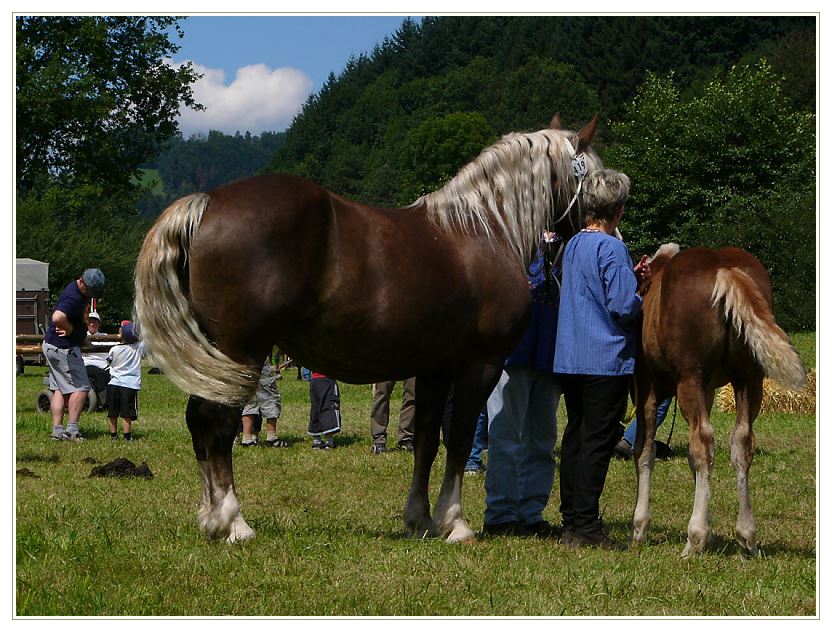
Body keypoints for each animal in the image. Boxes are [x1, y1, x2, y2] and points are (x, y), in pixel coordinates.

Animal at [133, 112, 600, 544]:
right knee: (217, 423)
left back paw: (211, 519)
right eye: (594, 170)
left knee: (198, 420)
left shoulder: (434, 369)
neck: (483, 230)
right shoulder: (480, 365)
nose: (611, 210)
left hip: (215, 355)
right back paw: (233, 522)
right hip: (240, 349)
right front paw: (455, 523)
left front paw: (420, 519)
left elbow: (426, 440)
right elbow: (460, 439)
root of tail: (207, 201)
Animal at [632, 244, 808, 556]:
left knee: (703, 441)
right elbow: (693, 458)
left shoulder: (649, 389)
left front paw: (640, 527)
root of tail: (724, 269)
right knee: (742, 442)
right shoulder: (709, 390)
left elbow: (645, 450)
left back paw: (694, 538)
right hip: (749, 379)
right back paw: (746, 536)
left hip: (690, 378)